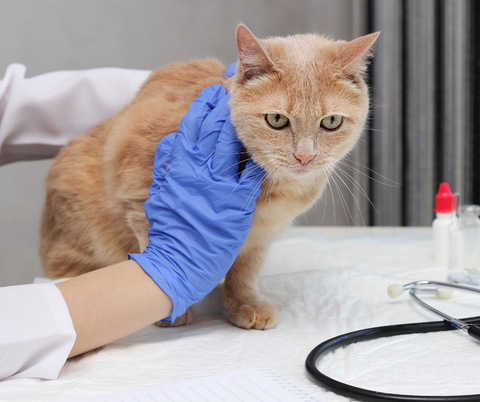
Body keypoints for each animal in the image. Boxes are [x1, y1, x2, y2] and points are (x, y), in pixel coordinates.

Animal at [41, 25, 378, 330]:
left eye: (331, 121)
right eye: (277, 119)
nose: (305, 157)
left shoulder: (260, 237)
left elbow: (244, 271)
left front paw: (243, 304)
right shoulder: (137, 191)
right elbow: (155, 243)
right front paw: (174, 306)